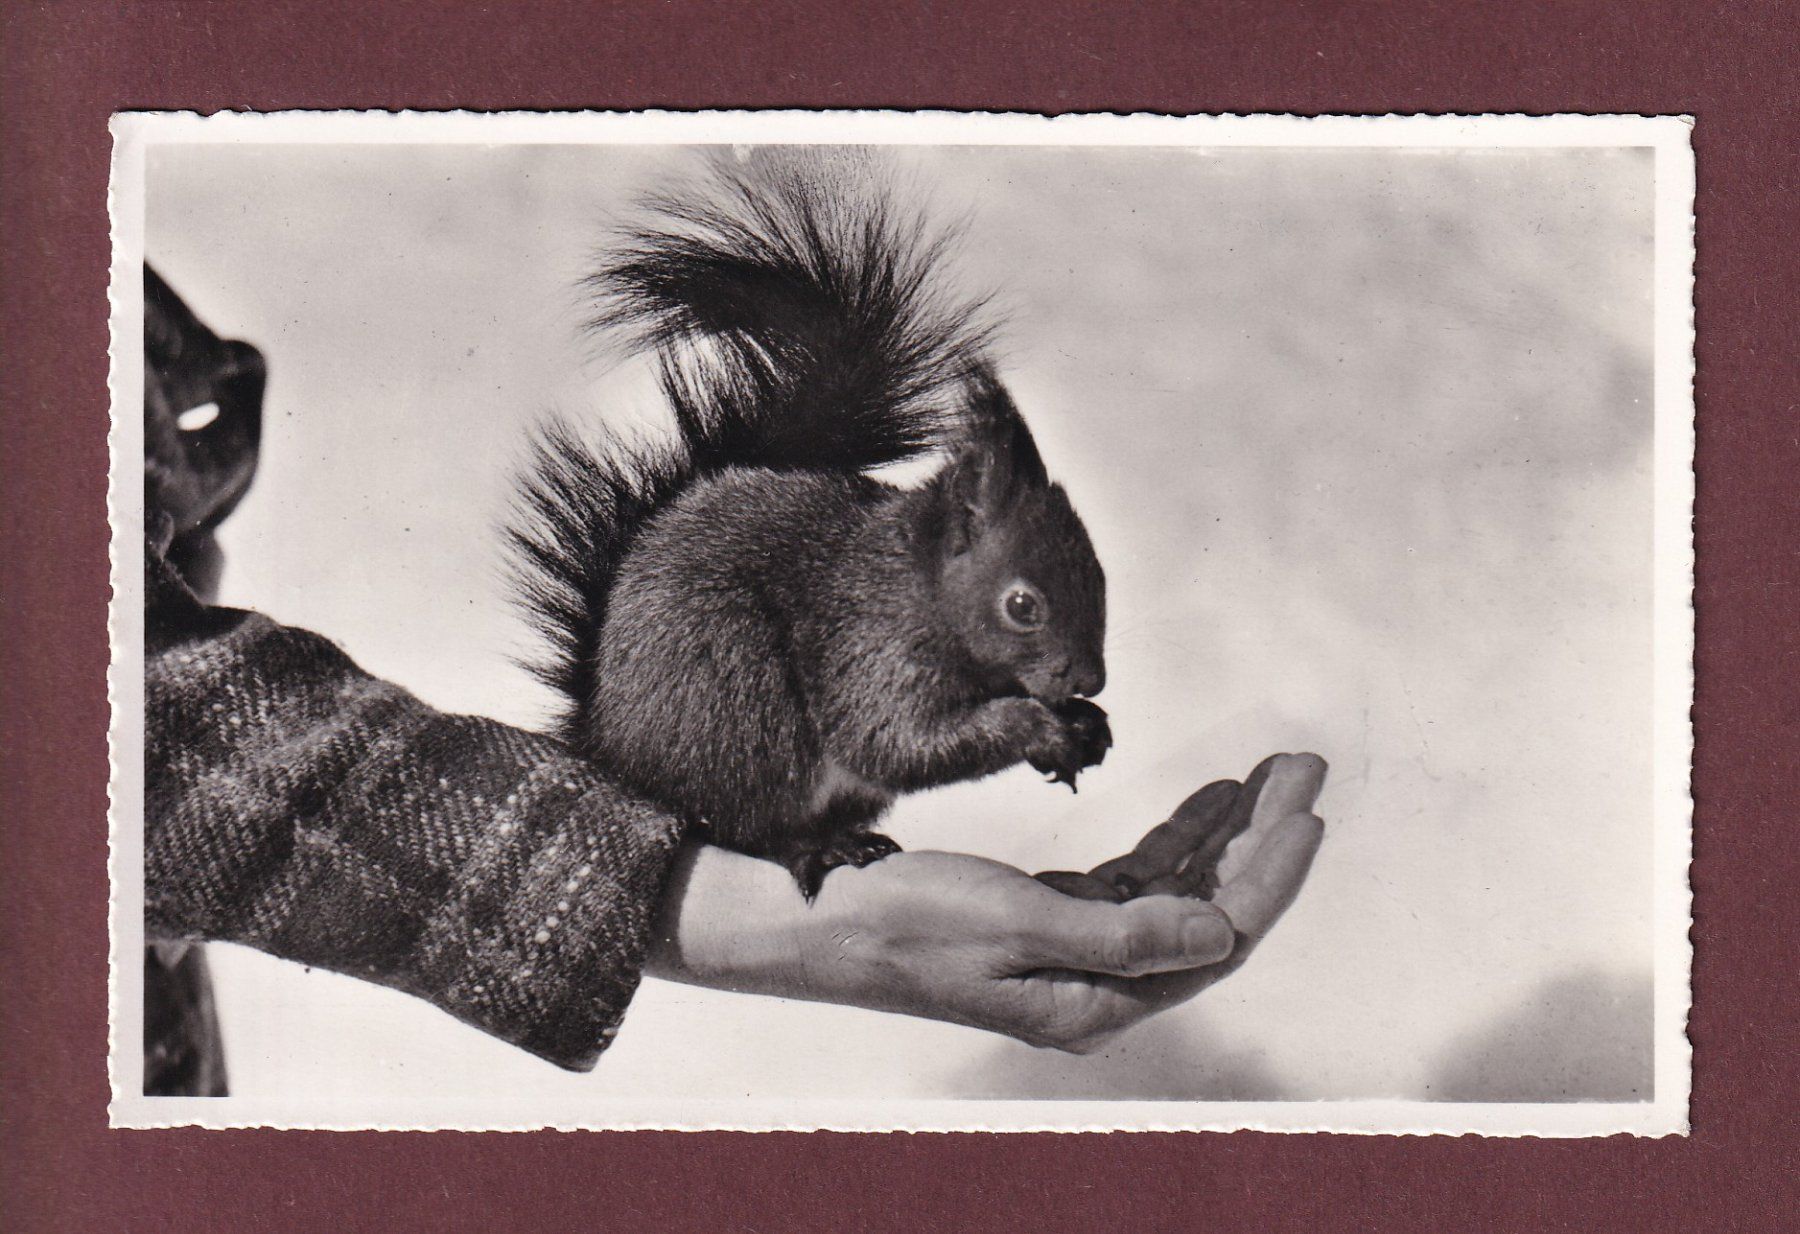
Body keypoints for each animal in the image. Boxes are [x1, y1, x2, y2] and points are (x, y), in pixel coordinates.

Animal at [510, 153, 1110, 897]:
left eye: (1100, 577)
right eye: (1022, 605)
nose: (1091, 681)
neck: (922, 588)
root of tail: (610, 745)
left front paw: (1088, 727)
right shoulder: (868, 648)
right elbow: (889, 741)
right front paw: (1038, 728)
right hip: (735, 700)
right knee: (743, 828)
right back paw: (811, 850)